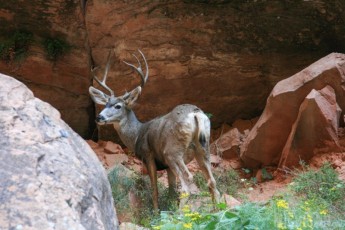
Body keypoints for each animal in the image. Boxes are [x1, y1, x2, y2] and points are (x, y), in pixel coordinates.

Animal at [88, 49, 218, 210]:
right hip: (203, 147)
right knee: (212, 182)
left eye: (118, 106)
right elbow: (171, 190)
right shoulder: (167, 166)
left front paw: (156, 212)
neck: (137, 135)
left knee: (187, 183)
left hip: (172, 151)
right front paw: (168, 209)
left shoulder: (148, 155)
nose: (99, 117)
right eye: (105, 104)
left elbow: (154, 188)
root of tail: (195, 114)